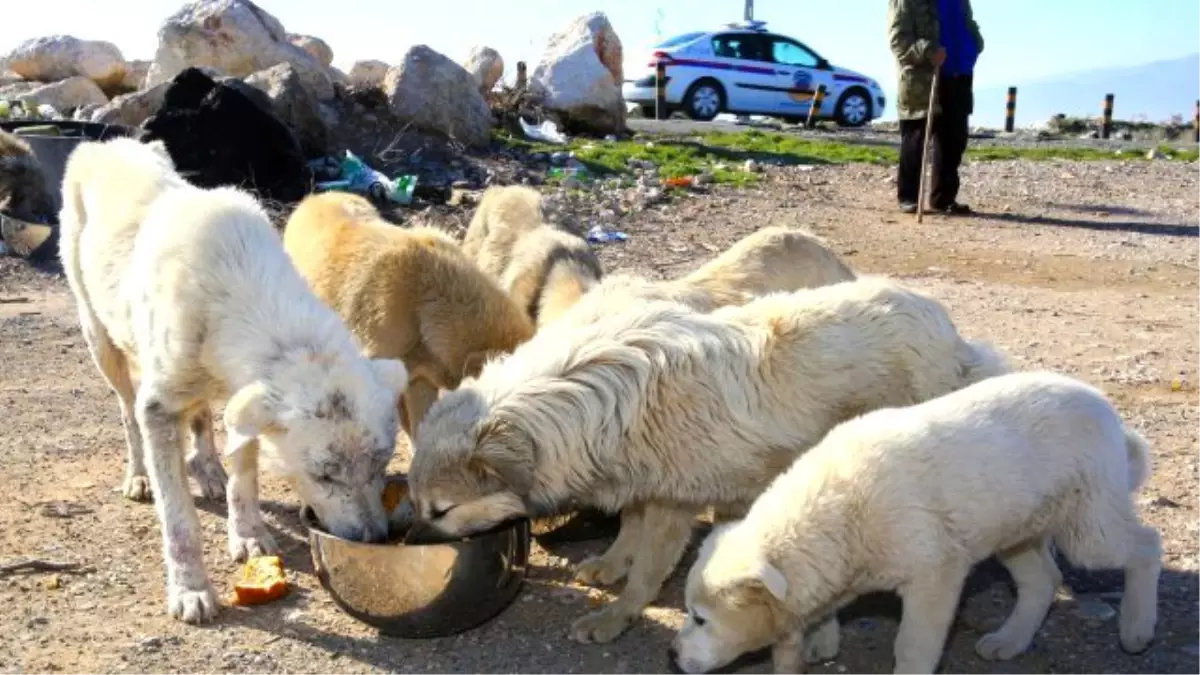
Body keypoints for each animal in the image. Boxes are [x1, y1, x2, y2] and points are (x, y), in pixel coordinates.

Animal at [58, 135, 410, 619]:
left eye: (381, 464)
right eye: (323, 476)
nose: (375, 539)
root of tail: (106, 143)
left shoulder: (243, 400)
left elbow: (244, 474)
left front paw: (246, 532)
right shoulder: (158, 409)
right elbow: (179, 519)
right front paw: (189, 588)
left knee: (202, 416)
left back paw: (207, 470)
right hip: (101, 343)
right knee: (127, 412)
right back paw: (139, 476)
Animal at [403, 273, 1003, 638]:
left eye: (441, 511)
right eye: (418, 503)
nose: (409, 543)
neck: (591, 398)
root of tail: (947, 329)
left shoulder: (673, 503)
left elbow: (648, 572)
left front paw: (617, 617)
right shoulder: (641, 480)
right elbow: (628, 531)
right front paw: (610, 565)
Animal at [672, 369, 1156, 667]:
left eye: (701, 618)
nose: (672, 657)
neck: (842, 511)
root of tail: (1106, 409)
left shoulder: (935, 577)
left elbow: (912, 647)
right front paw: (823, 639)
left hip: (1090, 528)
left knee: (1145, 545)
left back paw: (1137, 627)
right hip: (1015, 529)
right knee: (1043, 580)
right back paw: (1010, 640)